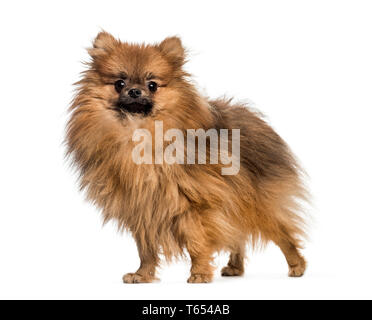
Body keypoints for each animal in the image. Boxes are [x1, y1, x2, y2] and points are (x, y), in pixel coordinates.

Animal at [66, 31, 308, 282]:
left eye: (152, 85)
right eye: (119, 83)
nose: (134, 91)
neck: (138, 133)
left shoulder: (192, 205)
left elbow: (196, 242)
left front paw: (199, 273)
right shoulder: (142, 208)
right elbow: (146, 249)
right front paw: (142, 274)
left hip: (257, 204)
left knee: (282, 234)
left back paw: (297, 265)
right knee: (238, 237)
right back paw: (235, 267)